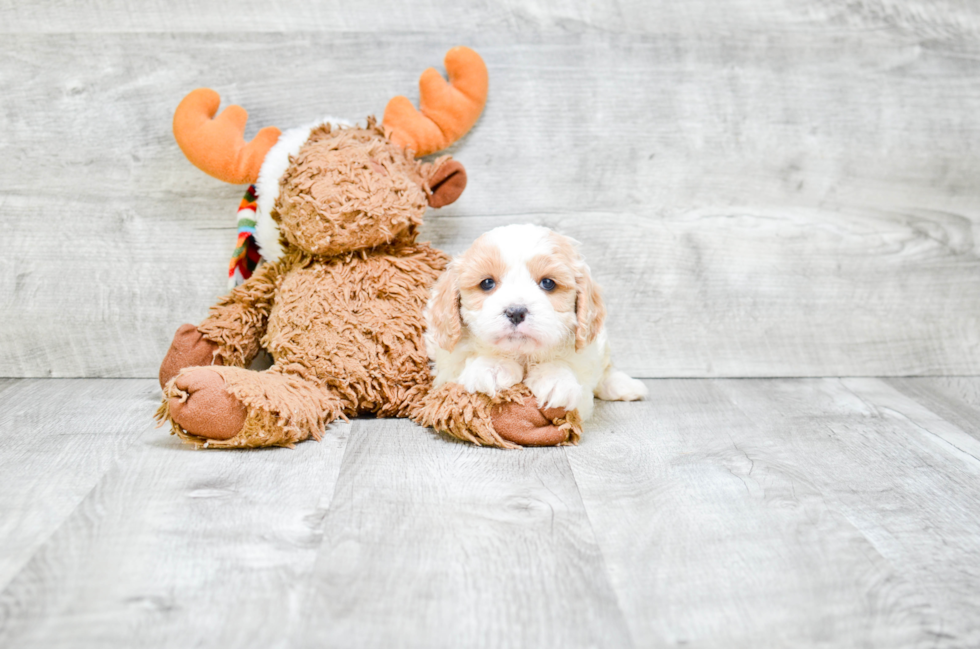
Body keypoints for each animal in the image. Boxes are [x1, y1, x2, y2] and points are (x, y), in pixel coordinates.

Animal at [424, 223, 648, 420]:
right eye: (487, 283)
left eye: (548, 283)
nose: (516, 312)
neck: (523, 355)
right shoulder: (445, 369)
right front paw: (493, 367)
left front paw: (556, 379)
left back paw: (623, 385)